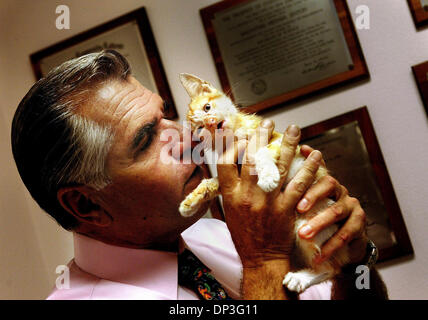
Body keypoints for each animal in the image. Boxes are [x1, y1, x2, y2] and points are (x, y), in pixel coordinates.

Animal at [179, 72, 350, 292]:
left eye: (207, 107)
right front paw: (190, 202)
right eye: (201, 129)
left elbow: (261, 151)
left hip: (309, 226)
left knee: (332, 268)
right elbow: (212, 182)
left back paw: (302, 277)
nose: (210, 121)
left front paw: (268, 176)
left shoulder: (278, 139)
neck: (234, 137)